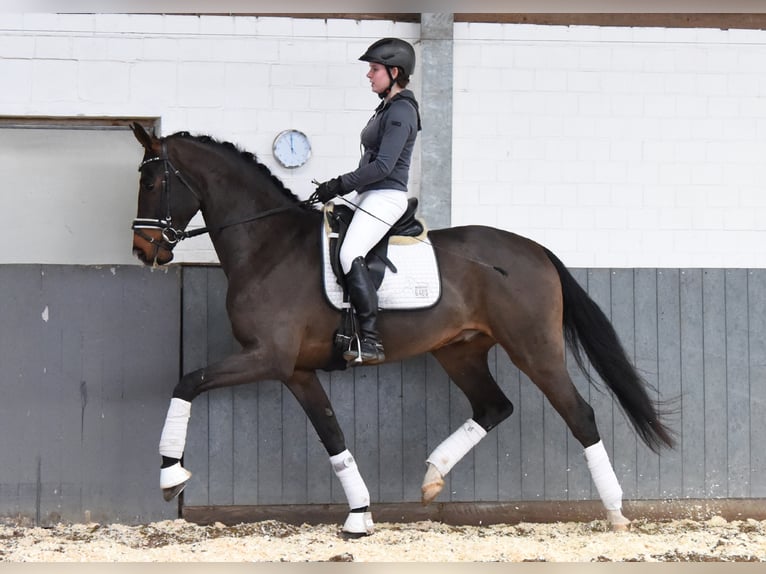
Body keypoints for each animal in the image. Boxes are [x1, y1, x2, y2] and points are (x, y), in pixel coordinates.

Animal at [129, 124, 676, 536]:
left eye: (151, 183)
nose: (143, 249)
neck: (269, 246)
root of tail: (535, 249)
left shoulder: (268, 356)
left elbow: (187, 382)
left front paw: (170, 476)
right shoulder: (296, 370)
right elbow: (333, 435)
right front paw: (359, 516)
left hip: (534, 349)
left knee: (579, 414)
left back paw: (615, 512)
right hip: (459, 351)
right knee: (494, 406)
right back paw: (433, 477)